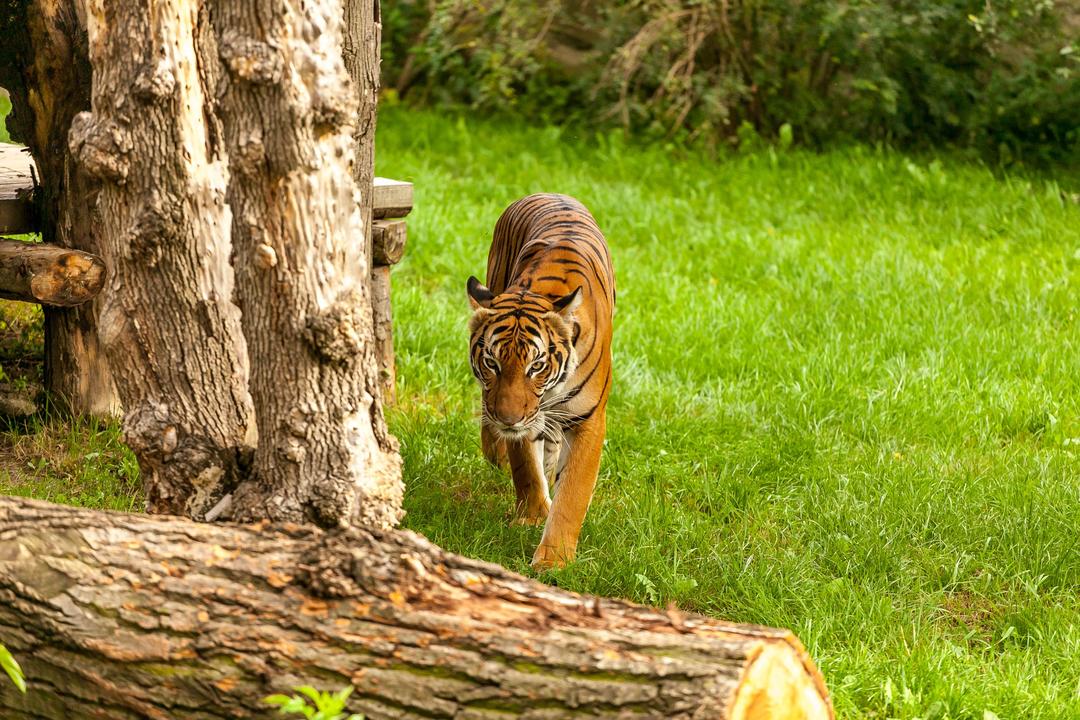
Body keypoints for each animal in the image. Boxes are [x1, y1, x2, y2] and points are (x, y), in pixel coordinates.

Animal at [466, 194, 617, 569]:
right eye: (491, 363)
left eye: (536, 366)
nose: (507, 419)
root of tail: (549, 194)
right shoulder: (522, 416)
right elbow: (525, 468)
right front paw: (533, 516)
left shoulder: (588, 419)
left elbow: (573, 493)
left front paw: (554, 560)